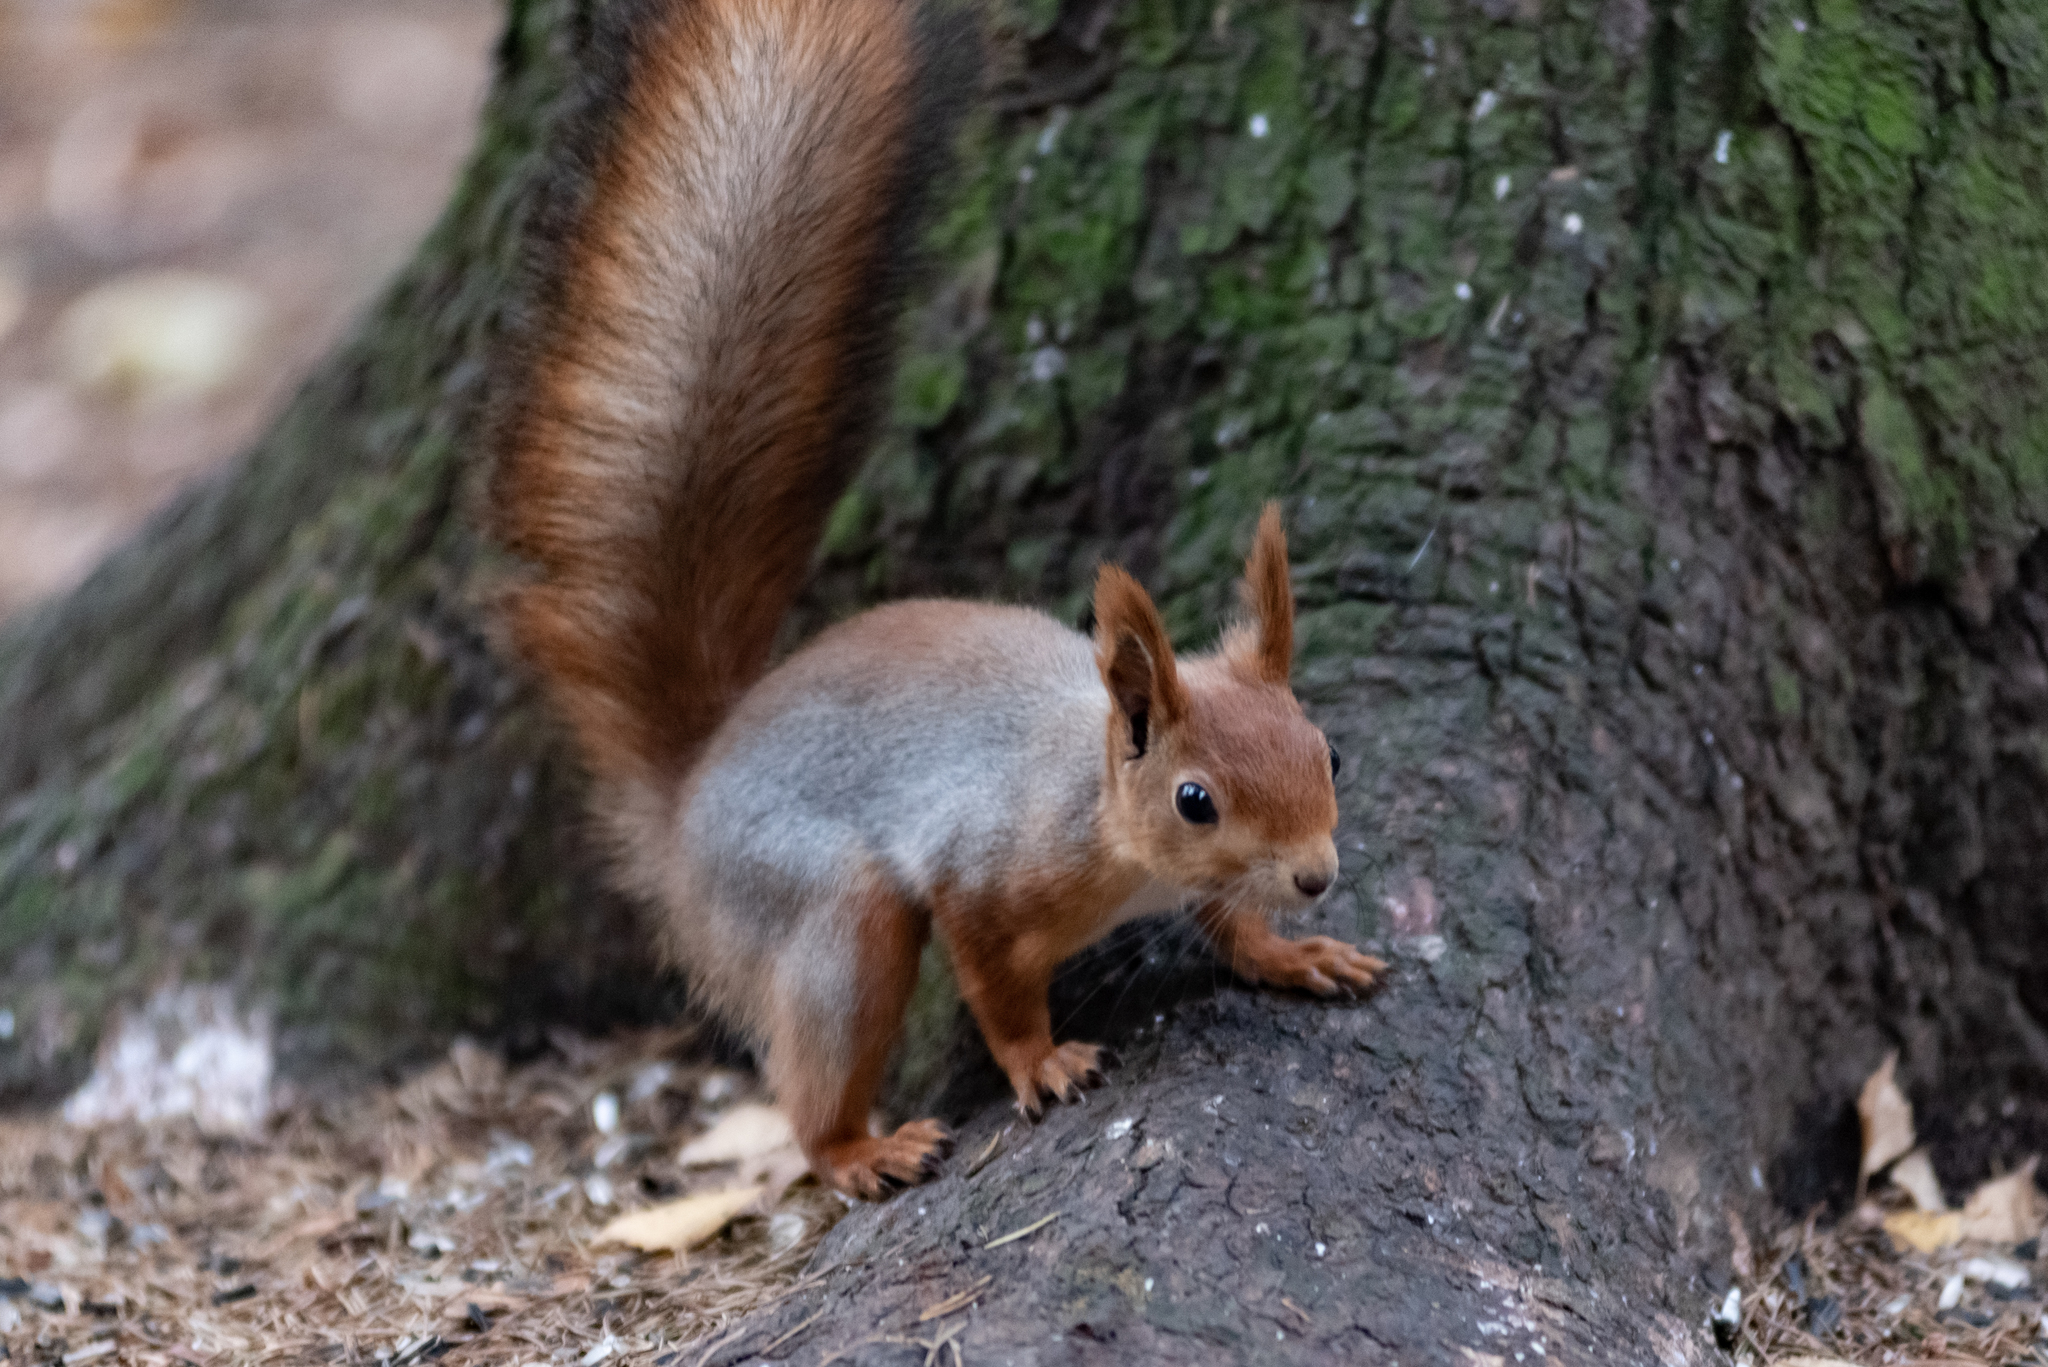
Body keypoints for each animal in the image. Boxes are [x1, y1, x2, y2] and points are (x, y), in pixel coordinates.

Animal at [483, 0, 1376, 1196]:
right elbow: (994, 983)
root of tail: (688, 792)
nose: (1317, 876)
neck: (1096, 807)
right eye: (1195, 798)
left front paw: (1293, 951)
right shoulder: (984, 875)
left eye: (1328, 751)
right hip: (826, 908)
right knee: (816, 1065)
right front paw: (1040, 1062)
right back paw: (861, 1147)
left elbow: (1229, 924)